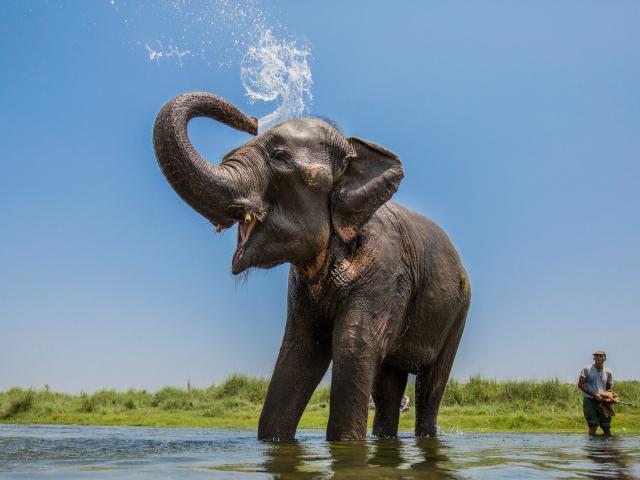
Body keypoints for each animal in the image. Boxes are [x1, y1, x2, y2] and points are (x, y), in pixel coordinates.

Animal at [152, 92, 471, 441]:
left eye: (279, 156)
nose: (251, 121)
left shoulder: (388, 269)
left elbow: (354, 345)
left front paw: (345, 445)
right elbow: (300, 352)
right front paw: (274, 441)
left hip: (459, 309)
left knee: (431, 382)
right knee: (388, 379)